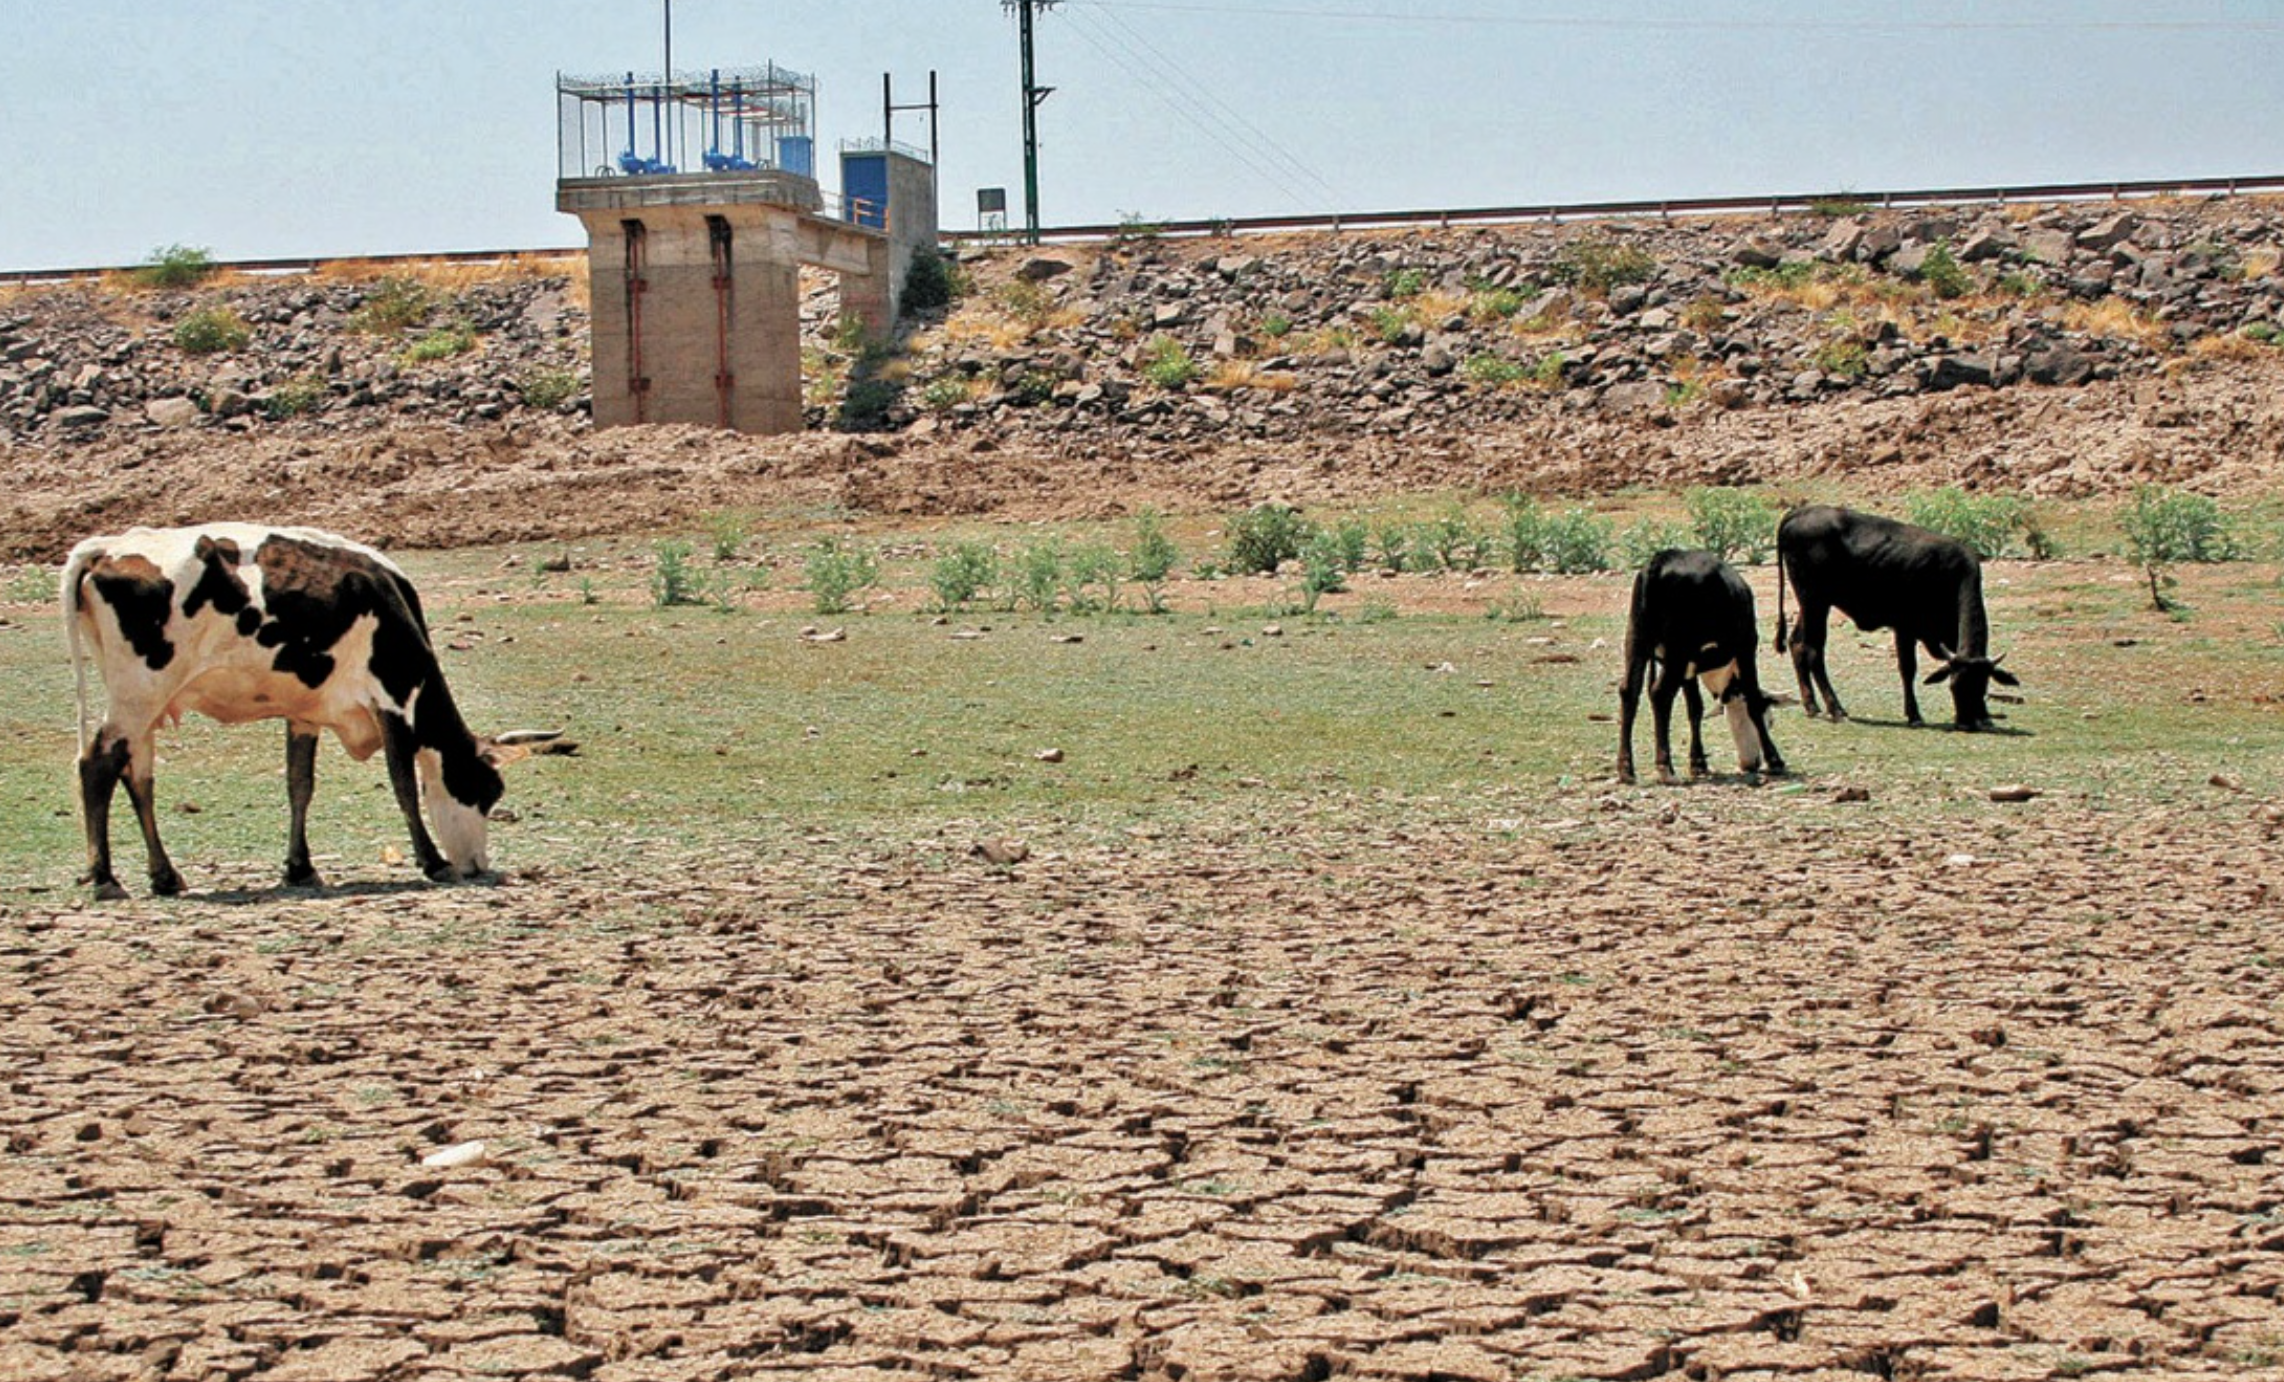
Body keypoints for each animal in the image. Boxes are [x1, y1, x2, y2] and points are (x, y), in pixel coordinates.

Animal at [1617, 550, 1790, 785]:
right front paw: (1775, 760)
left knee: (1629, 692)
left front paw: (1698, 763)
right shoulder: (1746, 647)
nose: (1750, 763)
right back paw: (1665, 769)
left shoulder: (1689, 668)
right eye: (1770, 720)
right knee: (1660, 694)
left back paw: (1626, 769)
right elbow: (1753, 701)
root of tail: (1660, 561)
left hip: (1636, 640)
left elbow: (1695, 708)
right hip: (1677, 652)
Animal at [1781, 497, 2019, 730]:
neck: (1953, 574)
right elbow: (1908, 669)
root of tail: (1798, 513)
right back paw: (1835, 709)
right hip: (1815, 602)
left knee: (1796, 643)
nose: (1965, 723)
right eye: (1954, 686)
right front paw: (1914, 715)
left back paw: (1811, 705)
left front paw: (1985, 716)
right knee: (1813, 650)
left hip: (1811, 604)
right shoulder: (1905, 627)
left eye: (1981, 686)